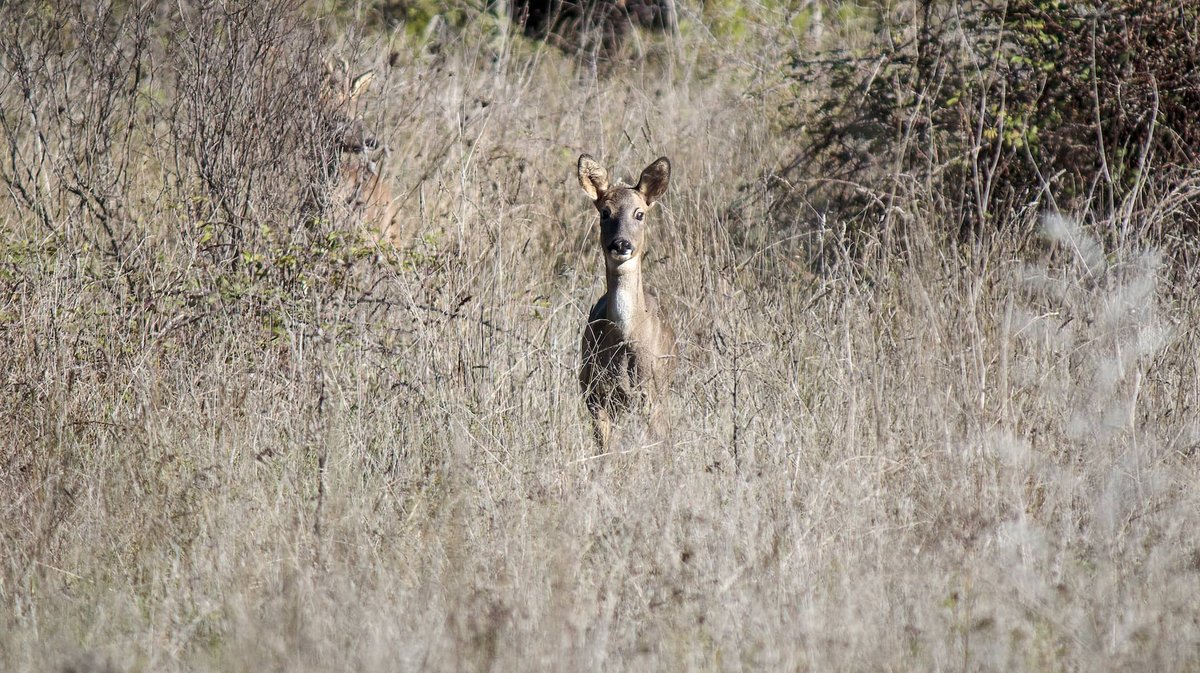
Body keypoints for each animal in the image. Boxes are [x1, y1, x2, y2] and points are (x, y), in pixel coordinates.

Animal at [578, 152, 681, 446]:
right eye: (605, 212)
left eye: (640, 213)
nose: (621, 244)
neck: (626, 338)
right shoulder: (595, 396)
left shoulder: (652, 394)